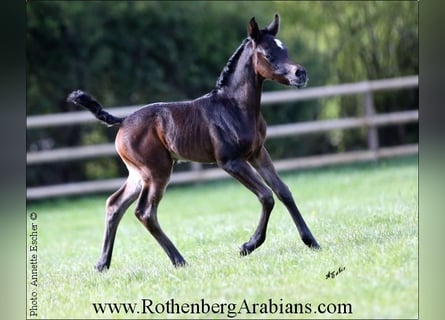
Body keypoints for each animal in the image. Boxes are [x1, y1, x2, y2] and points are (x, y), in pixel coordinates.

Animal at [67, 14, 320, 270]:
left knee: (114, 204)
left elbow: (283, 191)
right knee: (145, 212)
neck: (235, 107)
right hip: (157, 171)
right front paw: (248, 246)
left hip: (138, 174)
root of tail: (123, 120)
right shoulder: (231, 161)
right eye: (267, 54)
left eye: (285, 49)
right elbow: (266, 196)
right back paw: (179, 260)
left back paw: (102, 264)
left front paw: (311, 241)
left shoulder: (257, 152)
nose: (300, 73)